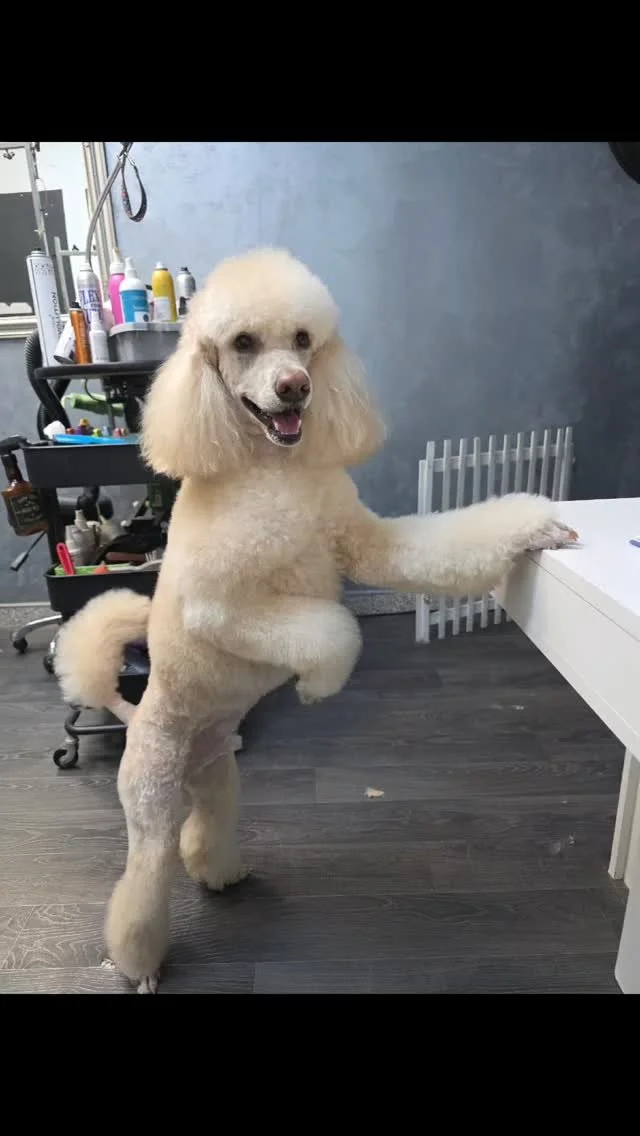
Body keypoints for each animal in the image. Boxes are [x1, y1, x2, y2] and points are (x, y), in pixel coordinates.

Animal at [55, 247, 578, 992]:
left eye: (304, 341)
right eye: (243, 343)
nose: (296, 388)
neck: (271, 469)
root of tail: (137, 716)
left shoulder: (366, 543)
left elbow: (433, 550)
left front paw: (536, 526)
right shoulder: (222, 609)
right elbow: (333, 629)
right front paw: (317, 685)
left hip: (217, 775)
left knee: (203, 830)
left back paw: (222, 872)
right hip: (149, 797)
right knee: (146, 874)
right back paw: (140, 963)